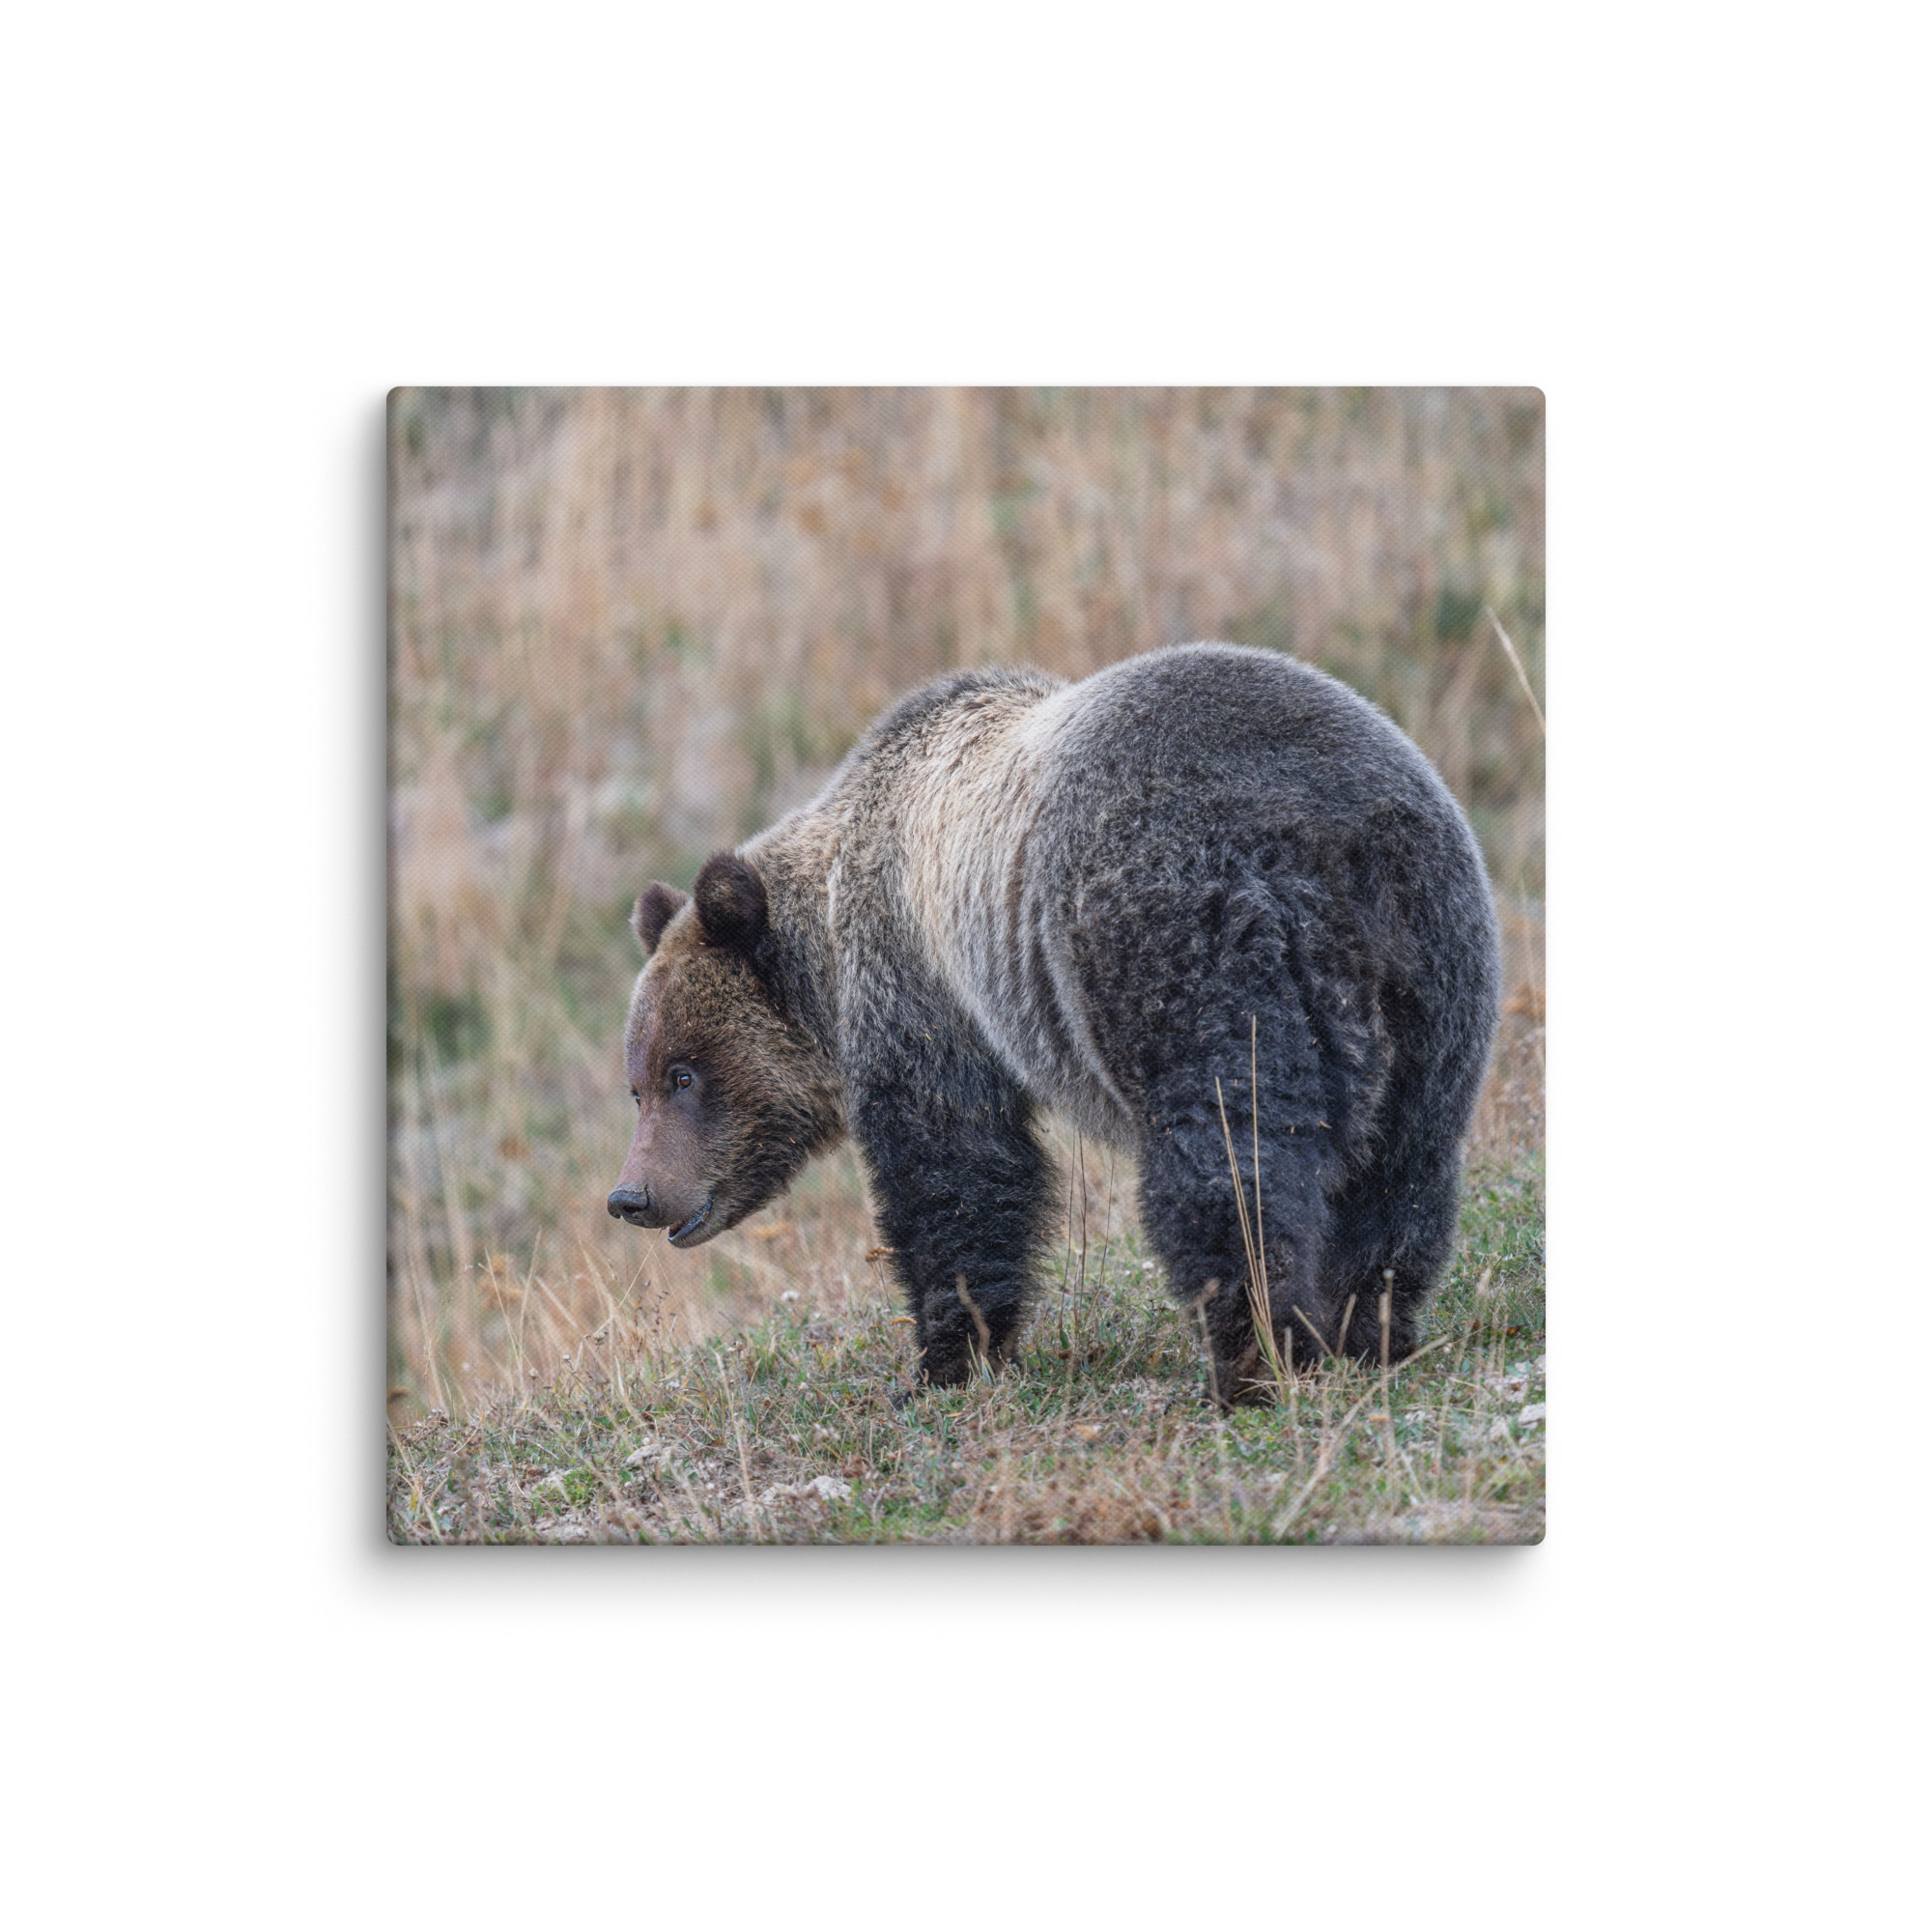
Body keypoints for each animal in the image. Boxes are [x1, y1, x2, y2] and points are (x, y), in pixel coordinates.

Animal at [608, 642, 1500, 1407]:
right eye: (638, 1084)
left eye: (684, 1073)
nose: (632, 1195)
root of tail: (1328, 839)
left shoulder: (924, 990)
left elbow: (956, 1170)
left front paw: (944, 1360)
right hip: (1434, 968)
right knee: (1403, 1165)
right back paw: (1369, 1329)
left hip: (1182, 940)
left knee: (1229, 1160)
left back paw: (1253, 1360)